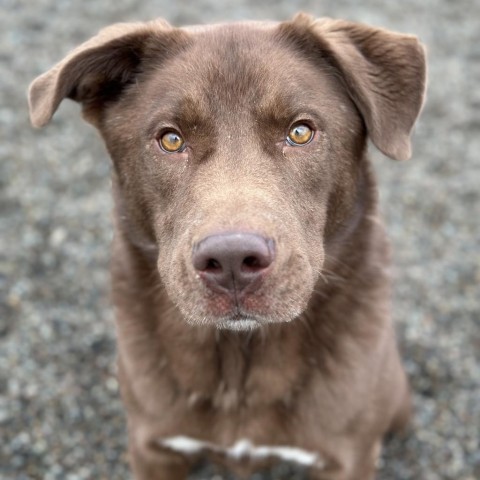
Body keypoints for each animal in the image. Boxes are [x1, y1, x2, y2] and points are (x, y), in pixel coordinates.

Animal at [29, 14, 428, 480]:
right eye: (170, 139)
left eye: (300, 132)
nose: (233, 260)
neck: (239, 361)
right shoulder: (153, 447)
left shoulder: (347, 457)